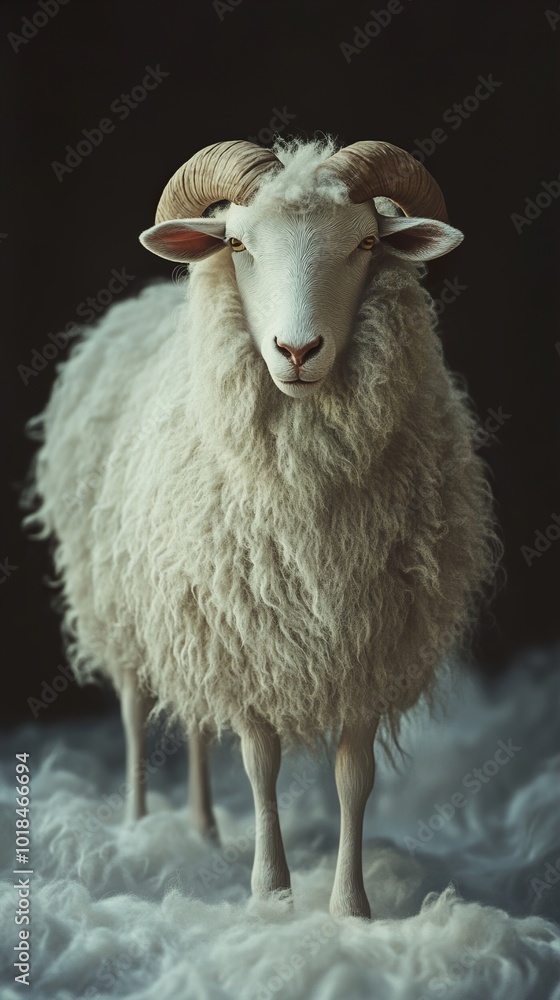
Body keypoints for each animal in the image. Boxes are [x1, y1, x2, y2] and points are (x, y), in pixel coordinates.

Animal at [24, 137, 497, 918]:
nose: (297, 351)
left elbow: (354, 775)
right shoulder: (248, 639)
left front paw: (350, 908)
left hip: (185, 606)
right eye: (240, 244)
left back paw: (204, 829)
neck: (307, 490)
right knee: (134, 709)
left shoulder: (369, 643)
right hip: (122, 600)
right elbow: (260, 762)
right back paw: (137, 827)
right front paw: (271, 894)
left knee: (190, 715)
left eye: (366, 242)